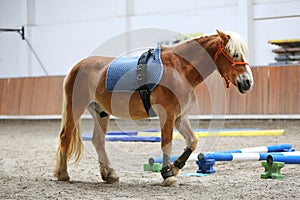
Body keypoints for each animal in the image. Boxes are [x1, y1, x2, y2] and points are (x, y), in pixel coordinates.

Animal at [54, 29, 253, 186]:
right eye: (235, 54)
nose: (248, 82)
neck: (179, 68)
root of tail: (77, 67)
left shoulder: (180, 117)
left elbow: (192, 141)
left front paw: (174, 168)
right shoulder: (168, 114)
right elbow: (167, 143)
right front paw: (167, 175)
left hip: (100, 112)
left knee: (98, 141)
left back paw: (110, 174)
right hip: (76, 107)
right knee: (65, 137)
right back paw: (63, 174)